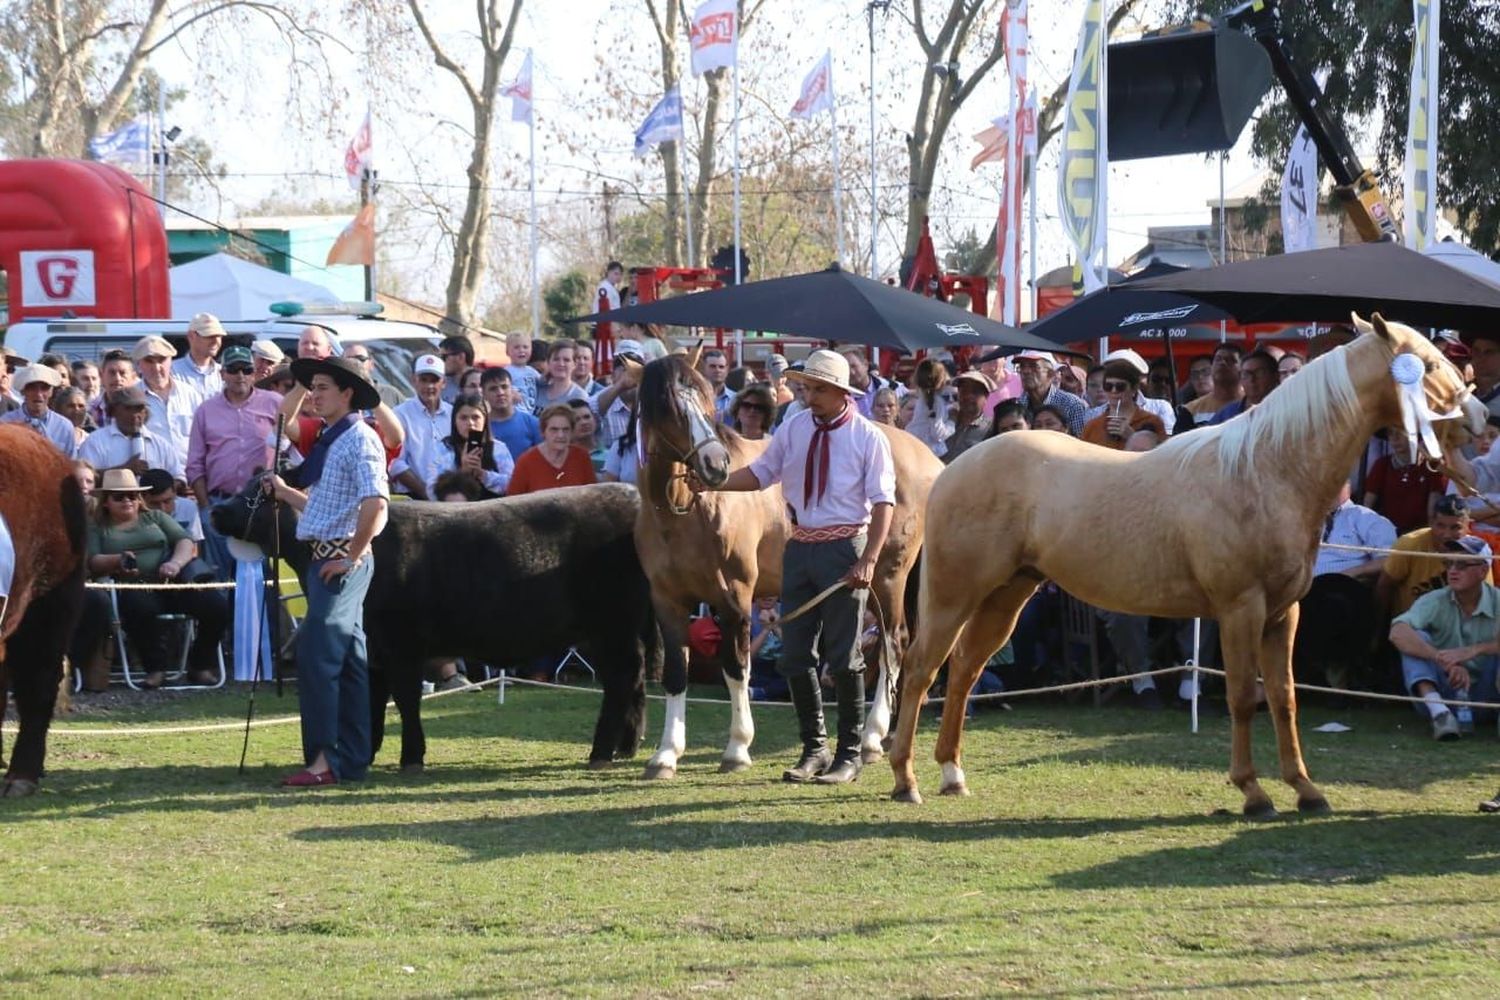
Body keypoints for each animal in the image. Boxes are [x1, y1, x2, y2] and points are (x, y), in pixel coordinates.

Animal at [211, 479, 657, 773]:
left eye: (253, 495)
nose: (214, 510)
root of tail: (631, 494)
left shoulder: (402, 645)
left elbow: (406, 700)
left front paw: (411, 757)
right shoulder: (375, 649)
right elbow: (373, 700)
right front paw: (368, 755)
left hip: (610, 625)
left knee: (622, 679)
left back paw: (601, 752)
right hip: (614, 630)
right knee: (634, 679)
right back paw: (627, 747)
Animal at [630, 353, 936, 779]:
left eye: (707, 403)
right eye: (669, 408)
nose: (716, 465)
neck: (687, 514)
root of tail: (929, 458)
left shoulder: (734, 596)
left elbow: (735, 667)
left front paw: (737, 748)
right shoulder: (667, 600)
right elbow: (676, 672)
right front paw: (666, 755)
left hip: (887, 577)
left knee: (894, 642)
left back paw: (872, 737)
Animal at [882, 316, 1482, 815]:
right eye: (1426, 364)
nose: (1478, 417)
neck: (1267, 469)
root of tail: (952, 467)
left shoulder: (1283, 614)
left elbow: (1284, 699)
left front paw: (1306, 790)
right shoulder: (1241, 610)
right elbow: (1242, 698)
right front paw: (1253, 792)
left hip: (1008, 594)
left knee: (964, 670)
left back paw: (952, 773)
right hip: (956, 594)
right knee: (921, 667)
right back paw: (905, 779)